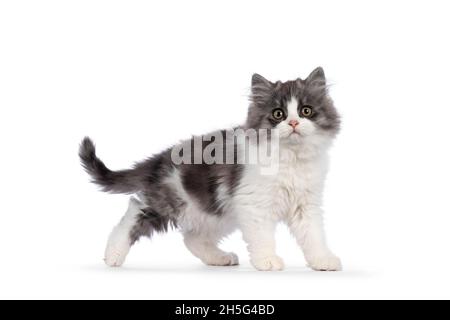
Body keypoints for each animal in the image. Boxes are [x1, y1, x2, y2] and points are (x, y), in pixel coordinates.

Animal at [80, 67, 342, 270]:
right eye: (278, 114)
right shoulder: (254, 205)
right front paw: (267, 260)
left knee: (191, 238)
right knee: (135, 211)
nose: (294, 122)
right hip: (173, 200)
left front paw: (323, 260)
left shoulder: (306, 205)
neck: (291, 158)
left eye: (306, 111)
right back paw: (113, 254)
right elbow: (263, 236)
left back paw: (219, 258)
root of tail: (161, 158)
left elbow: (314, 235)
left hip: (214, 210)